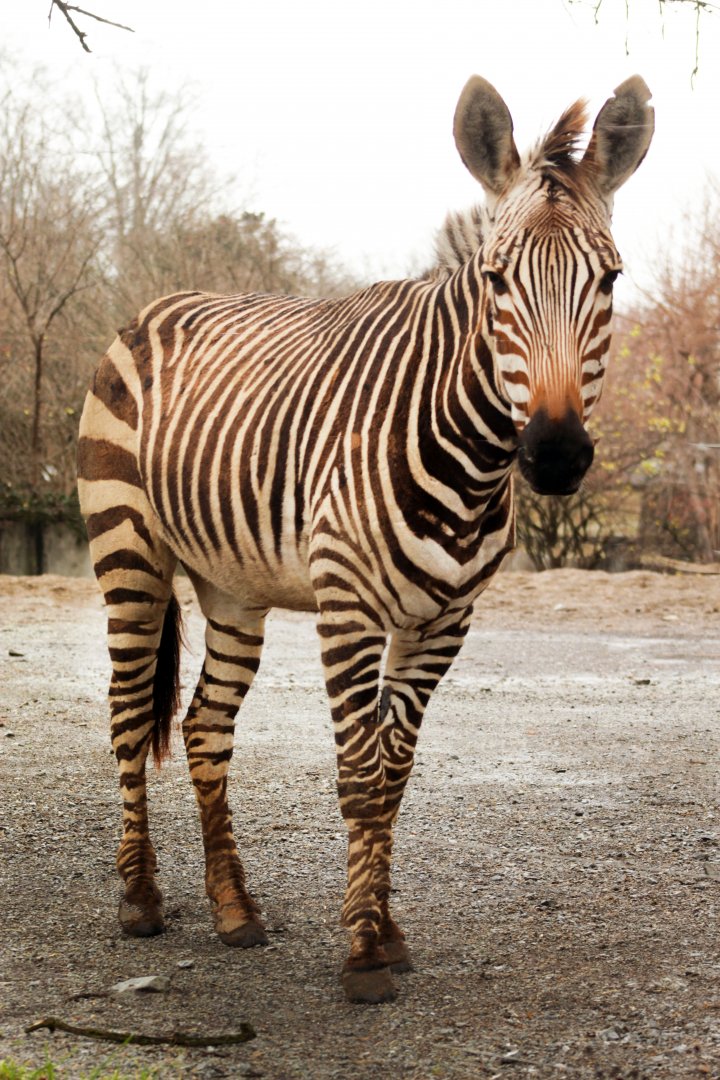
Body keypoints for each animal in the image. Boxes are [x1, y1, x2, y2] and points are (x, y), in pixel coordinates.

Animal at [77, 75, 654, 1004]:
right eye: (496, 279)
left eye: (610, 278)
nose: (558, 454)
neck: (469, 456)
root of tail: (156, 305)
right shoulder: (346, 607)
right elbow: (356, 774)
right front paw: (360, 954)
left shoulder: (444, 622)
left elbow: (393, 778)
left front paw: (386, 931)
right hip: (128, 552)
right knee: (131, 713)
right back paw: (139, 899)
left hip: (233, 588)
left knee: (204, 727)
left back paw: (234, 909)